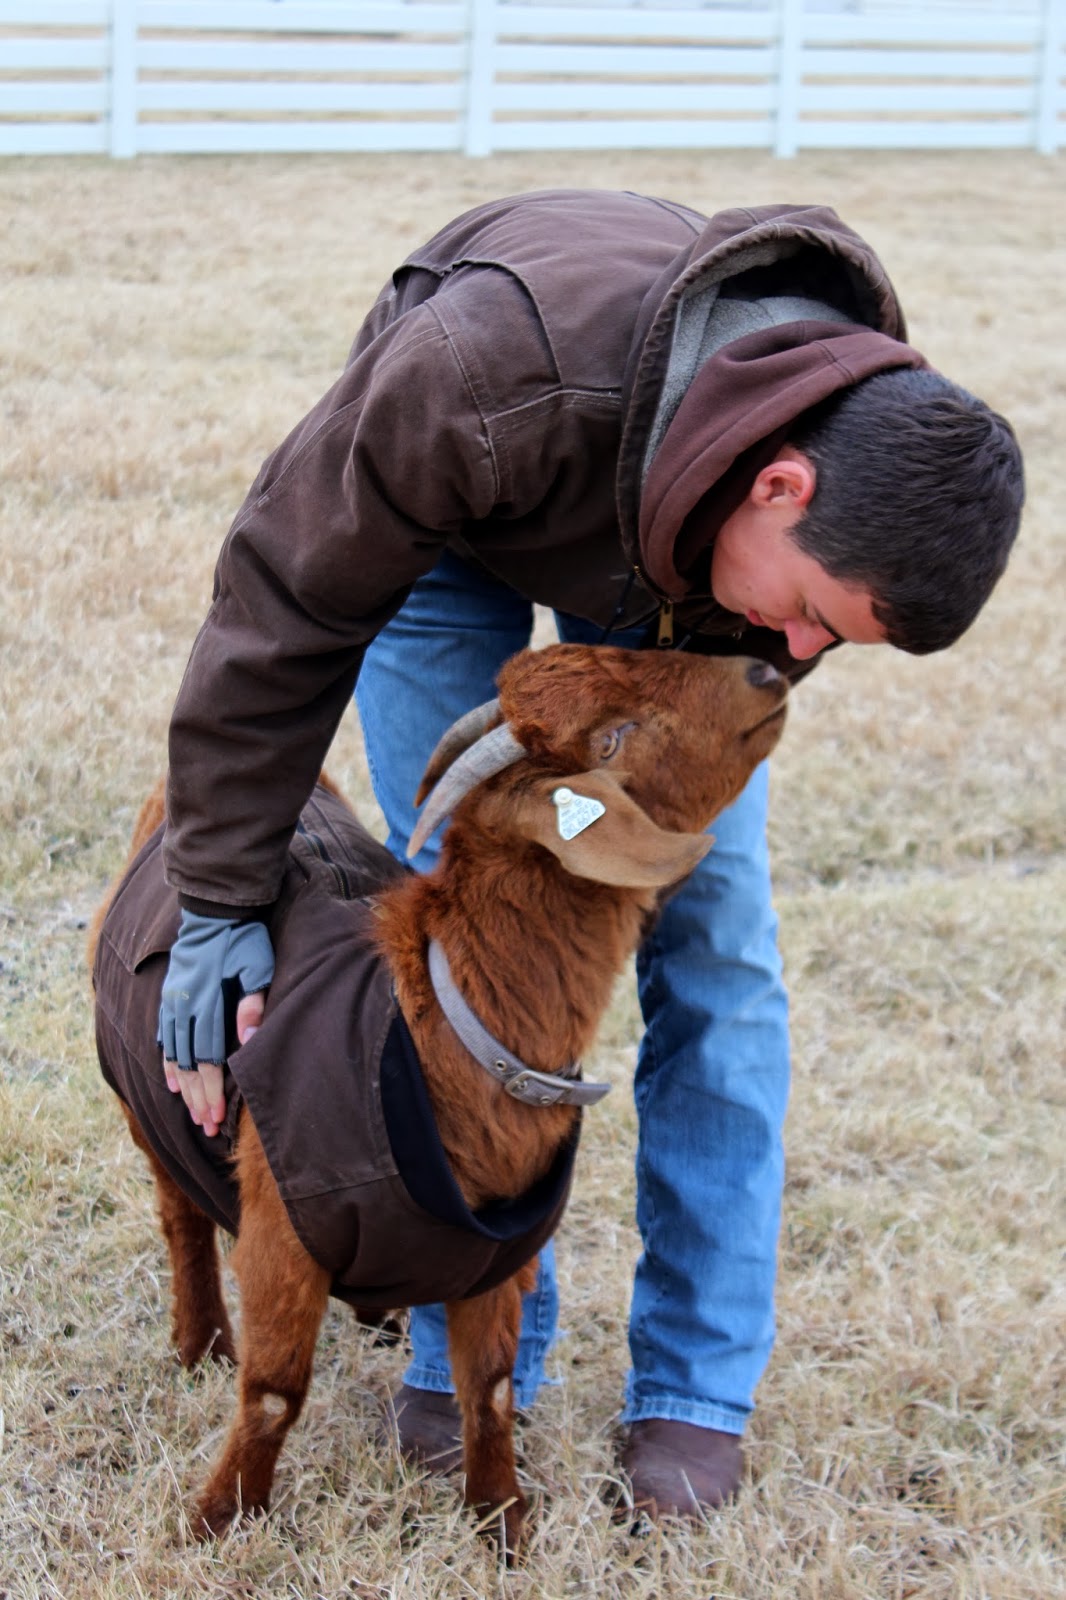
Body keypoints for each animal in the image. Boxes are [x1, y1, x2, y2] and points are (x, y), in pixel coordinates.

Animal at [89, 642, 788, 1554]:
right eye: (614, 735)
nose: (766, 673)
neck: (441, 1032)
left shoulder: (498, 1253)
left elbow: (489, 1390)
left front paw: (503, 1524)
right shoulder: (283, 1225)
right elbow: (275, 1390)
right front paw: (219, 1518)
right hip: (154, 1098)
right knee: (181, 1216)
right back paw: (202, 1345)